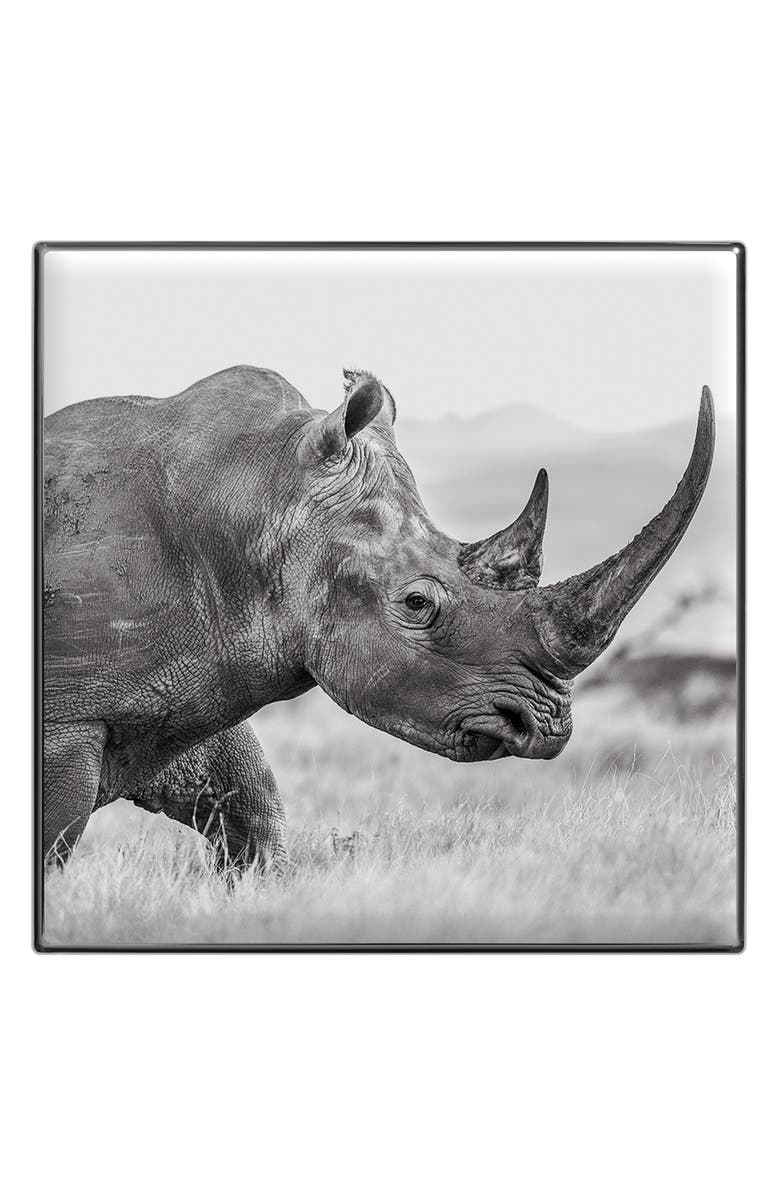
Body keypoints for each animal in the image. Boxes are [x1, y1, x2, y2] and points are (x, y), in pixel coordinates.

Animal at [42, 366, 715, 868]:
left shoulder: (191, 675)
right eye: (418, 605)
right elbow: (54, 842)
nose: (547, 726)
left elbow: (254, 811)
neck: (261, 499)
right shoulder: (70, 715)